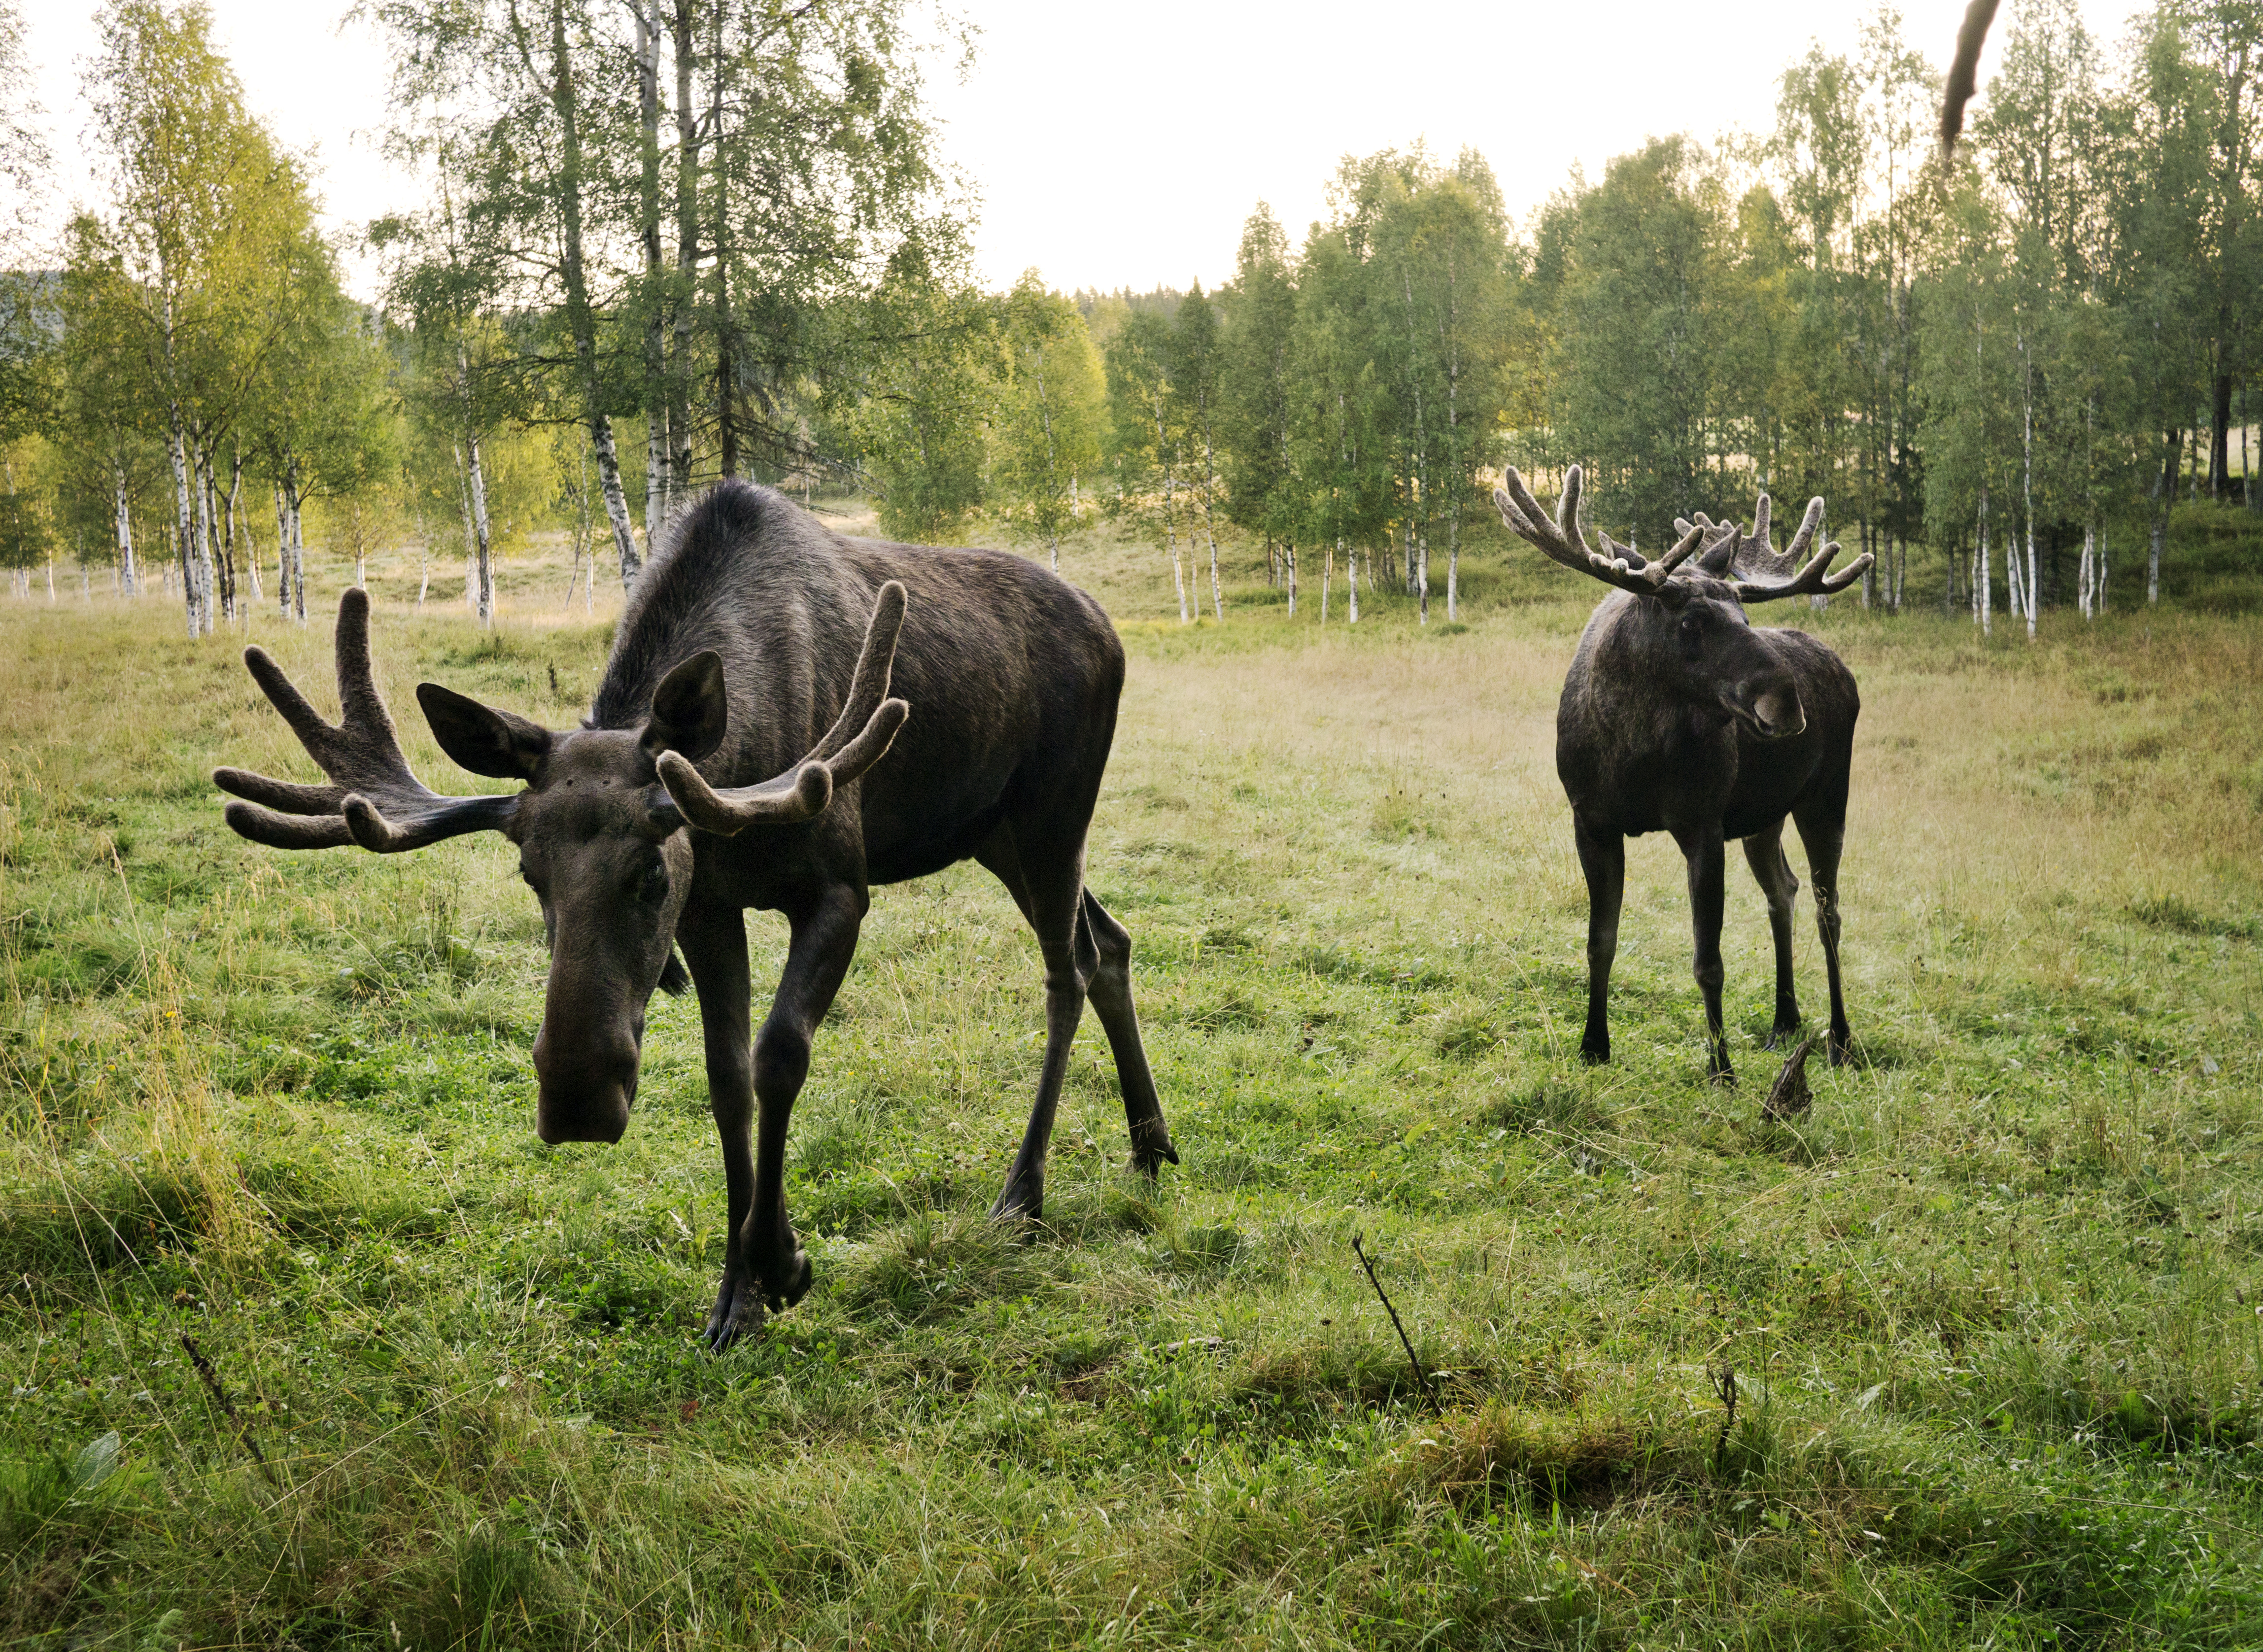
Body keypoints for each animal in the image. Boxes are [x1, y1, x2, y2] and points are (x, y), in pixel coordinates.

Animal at [213, 482, 1186, 1348]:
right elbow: (726, 1081)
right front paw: (735, 1298)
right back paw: (1150, 1143)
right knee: (1109, 942)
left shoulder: (839, 886)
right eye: (529, 873)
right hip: (992, 832)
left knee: (1065, 969)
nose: (576, 1100)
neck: (748, 765)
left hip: (1053, 813)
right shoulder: (712, 906)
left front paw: (781, 1261)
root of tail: (1109, 628)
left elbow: (778, 1055)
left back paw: (1024, 1192)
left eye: (650, 872)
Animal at [1493, 464, 1864, 1081]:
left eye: (1745, 615)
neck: (1633, 754)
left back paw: (1839, 1038)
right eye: (1692, 620)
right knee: (1782, 890)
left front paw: (1720, 1068)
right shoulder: (1590, 821)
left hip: (1826, 796)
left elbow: (1707, 959)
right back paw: (1783, 1019)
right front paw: (1592, 1045)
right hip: (1762, 815)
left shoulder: (1702, 825)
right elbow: (1599, 940)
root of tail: (1840, 666)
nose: (1786, 703)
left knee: (1827, 911)